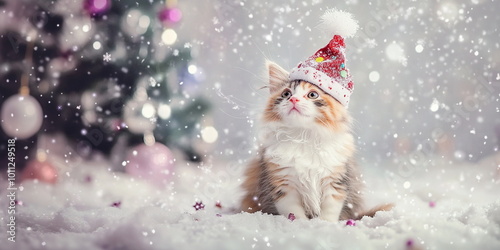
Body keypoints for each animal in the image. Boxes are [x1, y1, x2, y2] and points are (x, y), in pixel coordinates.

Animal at [240, 61, 392, 222]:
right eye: (286, 94)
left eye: (312, 94)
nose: (293, 100)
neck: (304, 136)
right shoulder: (283, 183)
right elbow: (293, 212)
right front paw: (303, 224)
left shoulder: (335, 181)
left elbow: (330, 210)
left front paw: (324, 224)